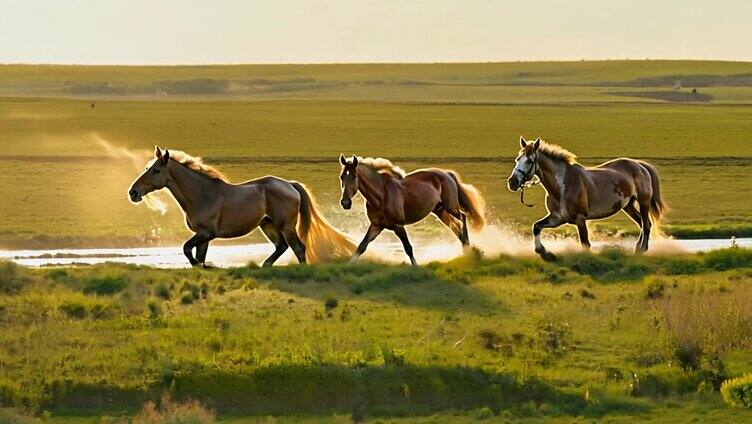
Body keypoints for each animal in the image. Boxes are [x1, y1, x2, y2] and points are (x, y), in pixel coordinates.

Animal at [128, 147, 354, 266]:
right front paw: (202, 267)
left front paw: (202, 266)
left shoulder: (206, 233)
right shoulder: (204, 237)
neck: (201, 195)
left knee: (298, 248)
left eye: (156, 170)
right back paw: (264, 266)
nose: (133, 192)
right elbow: (198, 256)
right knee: (281, 246)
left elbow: (186, 249)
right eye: (147, 168)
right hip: (268, 225)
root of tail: (290, 184)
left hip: (286, 226)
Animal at [338, 152, 484, 264]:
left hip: (450, 207)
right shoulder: (376, 226)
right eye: (341, 177)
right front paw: (349, 265)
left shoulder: (398, 226)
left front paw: (416, 267)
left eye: (354, 176)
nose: (345, 203)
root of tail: (447, 173)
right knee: (455, 227)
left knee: (463, 218)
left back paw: (469, 246)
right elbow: (362, 246)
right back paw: (466, 250)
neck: (382, 196)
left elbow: (408, 248)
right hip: (440, 211)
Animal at [508, 137, 668, 260]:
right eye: (517, 159)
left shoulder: (580, 219)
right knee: (641, 223)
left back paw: (642, 249)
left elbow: (585, 244)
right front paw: (545, 253)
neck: (562, 186)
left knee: (646, 225)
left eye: (529, 161)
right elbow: (536, 227)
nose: (512, 182)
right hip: (628, 206)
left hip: (644, 202)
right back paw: (637, 248)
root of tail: (640, 165)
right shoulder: (557, 218)